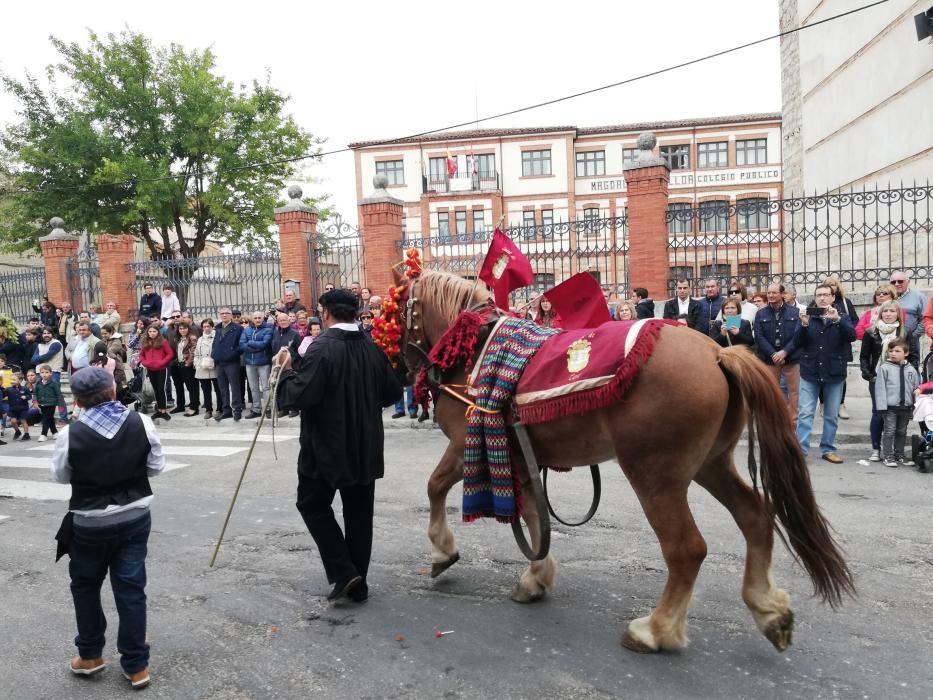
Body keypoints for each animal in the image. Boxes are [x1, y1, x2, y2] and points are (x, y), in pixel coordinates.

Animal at [400, 270, 852, 652]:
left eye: (395, 306)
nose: (407, 372)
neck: (472, 348)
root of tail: (717, 354)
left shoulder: (465, 446)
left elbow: (435, 485)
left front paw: (442, 551)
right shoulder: (520, 458)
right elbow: (532, 517)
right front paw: (535, 579)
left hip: (654, 475)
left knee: (686, 548)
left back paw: (656, 629)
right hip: (712, 464)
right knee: (756, 517)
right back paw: (768, 610)